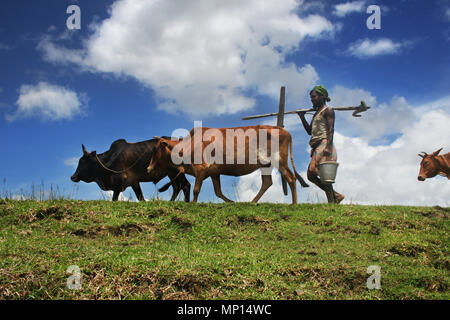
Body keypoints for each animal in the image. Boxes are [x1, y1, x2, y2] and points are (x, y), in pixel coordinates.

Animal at [146, 124, 308, 202]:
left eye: (155, 150)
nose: (148, 168)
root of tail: (284, 131)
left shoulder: (201, 169)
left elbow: (196, 190)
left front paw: (193, 203)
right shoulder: (214, 172)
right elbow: (218, 192)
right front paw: (232, 202)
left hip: (279, 160)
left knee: (291, 178)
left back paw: (294, 203)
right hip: (266, 165)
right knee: (267, 182)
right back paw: (252, 202)